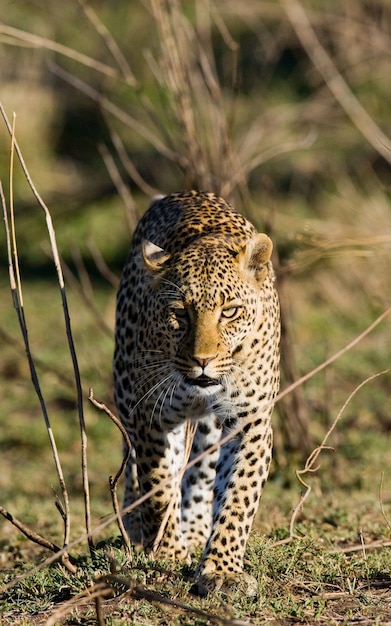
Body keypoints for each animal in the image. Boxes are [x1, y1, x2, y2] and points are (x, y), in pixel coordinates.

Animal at [113, 189, 282, 596]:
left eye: (230, 311)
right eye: (179, 313)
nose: (202, 360)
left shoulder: (250, 421)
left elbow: (237, 496)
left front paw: (222, 570)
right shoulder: (151, 415)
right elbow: (158, 487)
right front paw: (167, 553)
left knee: (203, 472)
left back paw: (194, 530)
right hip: (127, 392)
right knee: (136, 464)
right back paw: (140, 526)